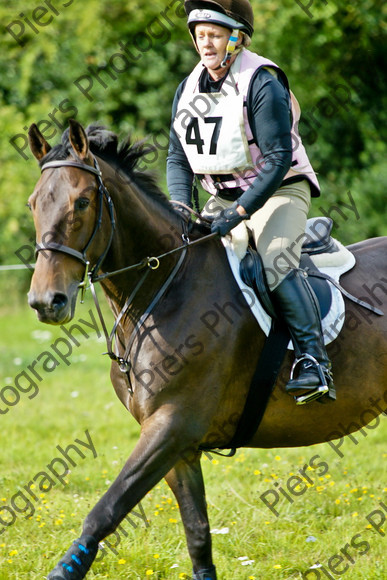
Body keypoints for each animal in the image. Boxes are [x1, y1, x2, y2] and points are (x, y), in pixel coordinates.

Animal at [25, 119, 386, 580]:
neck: (166, 289)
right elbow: (197, 534)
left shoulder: (172, 426)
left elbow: (105, 511)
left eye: (83, 201)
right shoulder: (178, 446)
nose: (45, 302)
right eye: (34, 204)